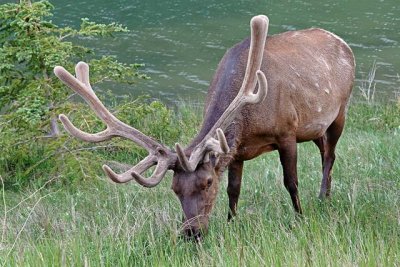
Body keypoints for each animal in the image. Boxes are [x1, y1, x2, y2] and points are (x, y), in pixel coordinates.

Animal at [54, 14, 356, 241]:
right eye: (175, 189)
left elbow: (290, 181)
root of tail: (342, 42)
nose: (191, 233)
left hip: (339, 111)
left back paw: (323, 198)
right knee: (325, 150)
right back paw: (326, 193)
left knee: (330, 154)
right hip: (314, 127)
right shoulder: (237, 149)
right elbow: (234, 189)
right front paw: (232, 223)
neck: (250, 117)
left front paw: (299, 218)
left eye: (207, 182)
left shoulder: (287, 132)